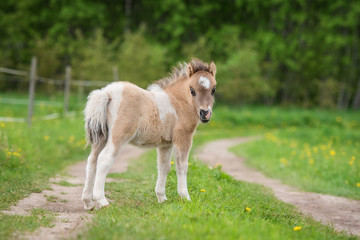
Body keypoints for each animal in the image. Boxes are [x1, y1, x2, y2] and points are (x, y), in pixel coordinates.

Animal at [81, 59, 217, 209]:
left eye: (213, 90)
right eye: (192, 90)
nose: (205, 114)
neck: (178, 102)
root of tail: (106, 93)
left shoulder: (165, 144)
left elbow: (164, 166)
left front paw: (162, 197)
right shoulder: (183, 137)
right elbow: (182, 165)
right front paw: (185, 197)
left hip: (102, 136)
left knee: (92, 160)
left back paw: (88, 202)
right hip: (119, 136)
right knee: (104, 159)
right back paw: (102, 200)